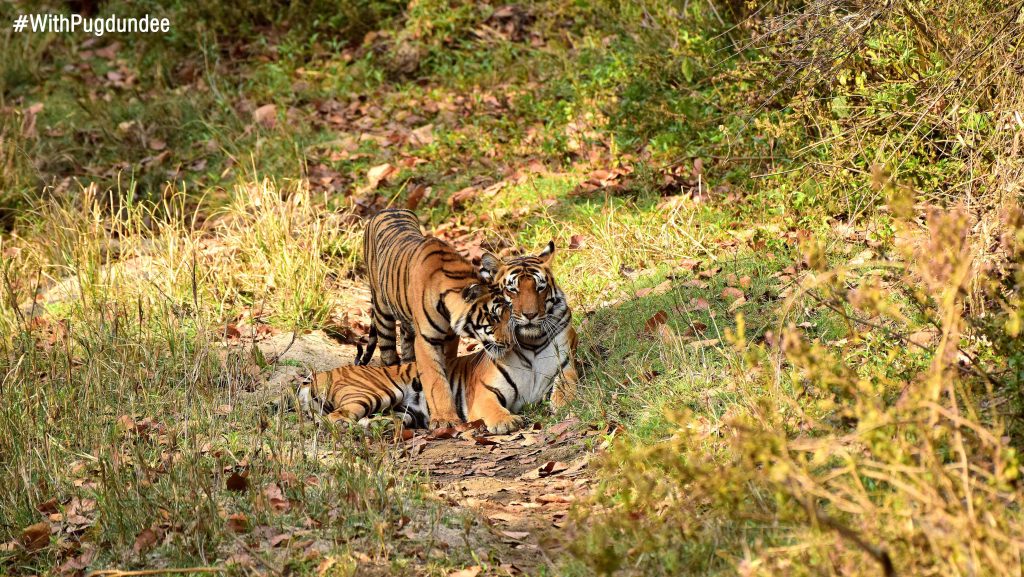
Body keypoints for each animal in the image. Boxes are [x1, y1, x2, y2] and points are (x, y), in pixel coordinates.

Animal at [299, 282, 581, 436]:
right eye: (494, 319)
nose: (508, 341)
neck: (531, 349)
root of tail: (317, 374)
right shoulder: (483, 394)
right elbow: (493, 409)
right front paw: (507, 422)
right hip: (373, 392)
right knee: (335, 419)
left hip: (402, 411)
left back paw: (382, 427)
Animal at [358, 208, 493, 428]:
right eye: (495, 316)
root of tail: (388, 209)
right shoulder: (426, 340)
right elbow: (436, 379)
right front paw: (446, 420)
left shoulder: (450, 338)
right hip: (382, 311)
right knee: (388, 354)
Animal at [479, 239, 577, 405]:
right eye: (512, 289)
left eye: (540, 287)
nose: (530, 314)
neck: (533, 341)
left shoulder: (566, 362)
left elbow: (566, 386)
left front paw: (564, 404)